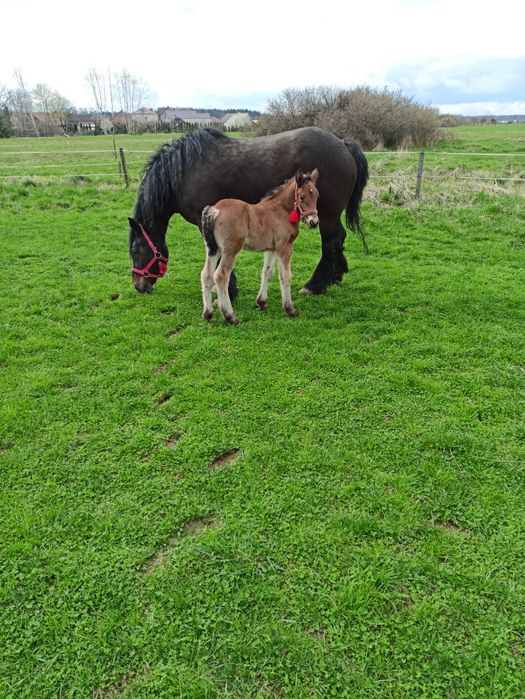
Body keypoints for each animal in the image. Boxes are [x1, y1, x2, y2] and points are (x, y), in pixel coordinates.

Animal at [129, 127, 368, 296]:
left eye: (135, 249)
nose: (139, 285)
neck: (183, 172)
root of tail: (343, 144)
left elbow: (218, 252)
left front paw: (227, 289)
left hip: (325, 215)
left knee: (331, 242)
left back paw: (315, 285)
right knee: (339, 239)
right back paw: (335, 275)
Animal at [200, 170, 318, 326]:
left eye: (316, 195)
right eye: (301, 197)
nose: (314, 222)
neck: (281, 210)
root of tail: (215, 210)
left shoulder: (271, 249)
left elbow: (267, 272)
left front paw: (261, 302)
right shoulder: (284, 246)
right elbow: (285, 276)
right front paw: (290, 309)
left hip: (213, 249)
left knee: (206, 274)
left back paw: (208, 314)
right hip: (230, 250)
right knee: (220, 276)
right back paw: (230, 316)